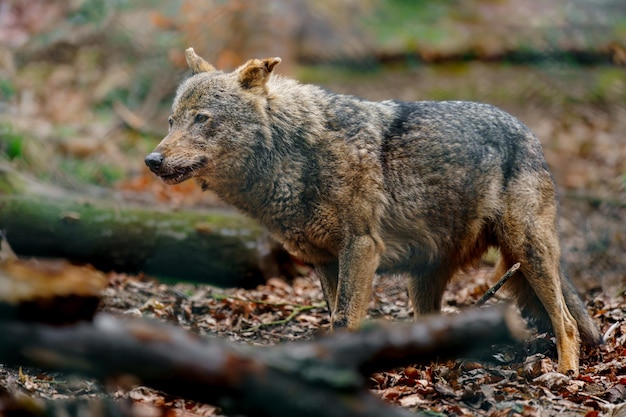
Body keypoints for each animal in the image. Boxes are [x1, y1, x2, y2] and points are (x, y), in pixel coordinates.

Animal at [145, 48, 600, 374]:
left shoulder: (361, 249)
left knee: (567, 323)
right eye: (171, 121)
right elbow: (335, 320)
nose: (152, 160)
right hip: (426, 279)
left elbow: (345, 319)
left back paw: (564, 376)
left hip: (527, 252)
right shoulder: (325, 261)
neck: (293, 154)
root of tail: (528, 133)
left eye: (202, 119)